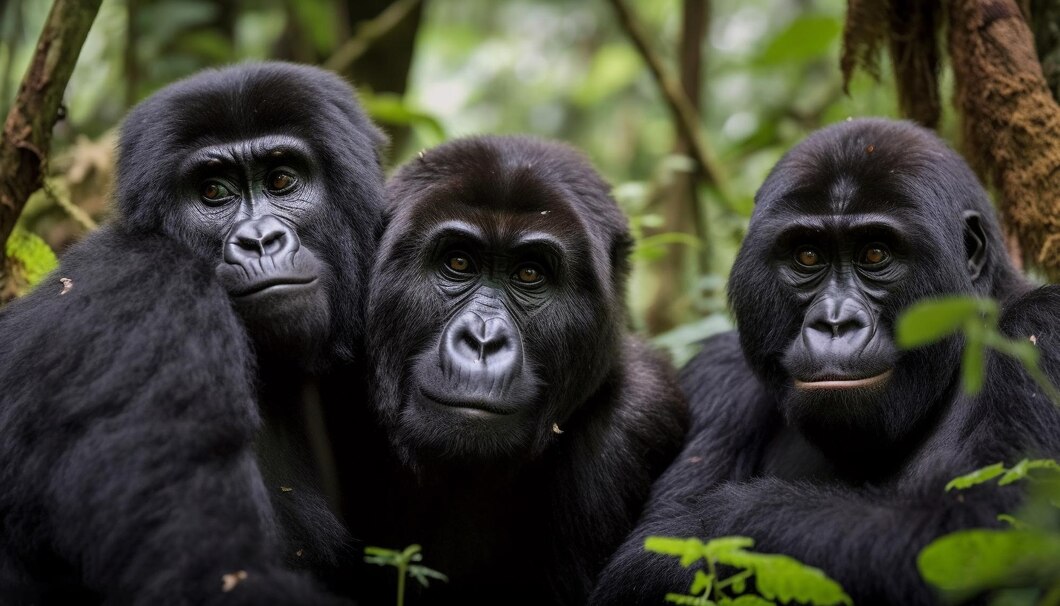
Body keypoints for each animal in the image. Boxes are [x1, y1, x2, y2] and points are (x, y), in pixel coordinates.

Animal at [589, 118, 1060, 606]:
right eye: (808, 255)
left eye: (875, 253)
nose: (834, 323)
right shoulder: (718, 375)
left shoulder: (1041, 329)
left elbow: (978, 527)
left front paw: (714, 523)